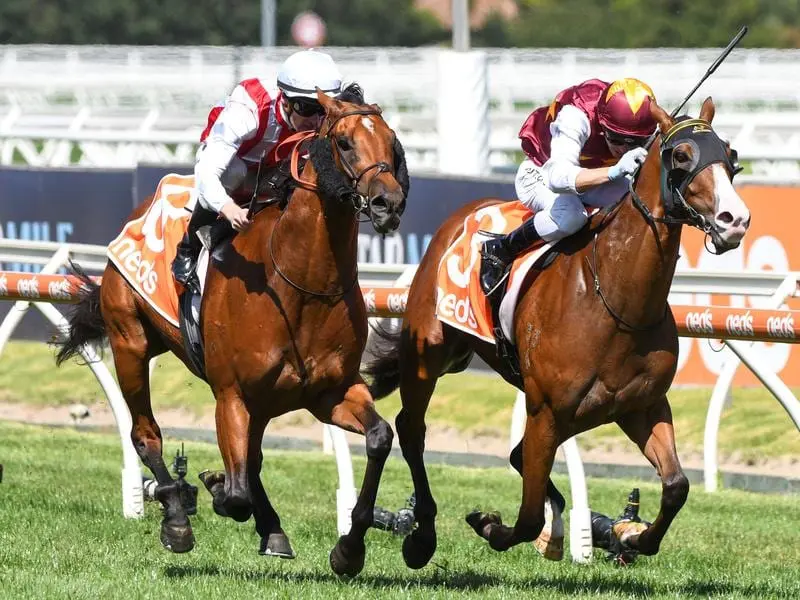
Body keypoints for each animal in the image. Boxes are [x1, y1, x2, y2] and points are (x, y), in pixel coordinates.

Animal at [54, 90, 412, 576]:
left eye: (392, 143)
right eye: (343, 142)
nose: (387, 204)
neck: (299, 286)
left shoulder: (330, 391)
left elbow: (378, 438)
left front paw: (349, 548)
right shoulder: (232, 395)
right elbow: (236, 493)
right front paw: (211, 488)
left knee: (253, 459)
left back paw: (269, 527)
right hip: (130, 342)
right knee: (146, 434)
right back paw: (176, 516)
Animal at [362, 98, 752, 568]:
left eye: (730, 155)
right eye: (681, 155)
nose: (734, 220)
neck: (616, 300)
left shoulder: (641, 406)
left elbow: (677, 486)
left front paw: (633, 537)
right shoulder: (546, 410)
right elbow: (527, 516)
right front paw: (490, 525)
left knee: (513, 453)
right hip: (430, 351)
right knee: (412, 428)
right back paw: (423, 536)